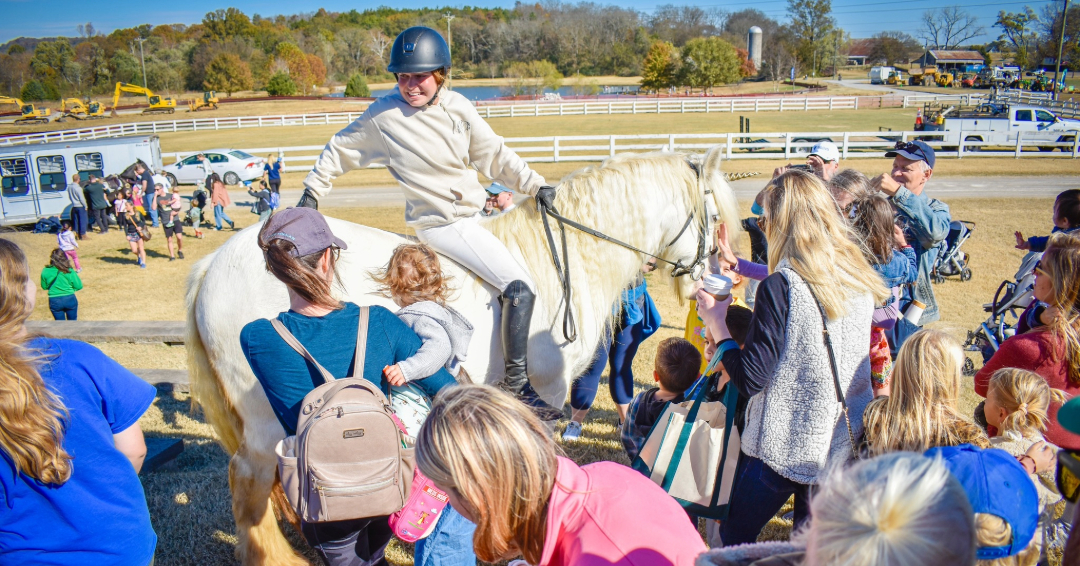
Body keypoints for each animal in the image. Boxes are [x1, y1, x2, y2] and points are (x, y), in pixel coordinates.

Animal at [187, 147, 743, 561]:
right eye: (715, 216)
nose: (724, 276)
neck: (566, 261)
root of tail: (214, 262)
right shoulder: (544, 395)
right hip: (264, 419)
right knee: (249, 483)